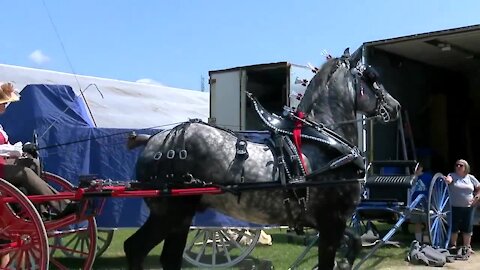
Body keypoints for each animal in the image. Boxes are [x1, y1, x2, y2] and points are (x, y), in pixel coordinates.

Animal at [124, 49, 402, 270]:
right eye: (373, 79)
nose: (396, 106)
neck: (324, 143)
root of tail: (154, 140)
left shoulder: (328, 222)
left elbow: (354, 242)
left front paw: (345, 261)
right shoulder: (331, 221)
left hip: (180, 217)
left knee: (167, 257)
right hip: (170, 214)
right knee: (135, 248)